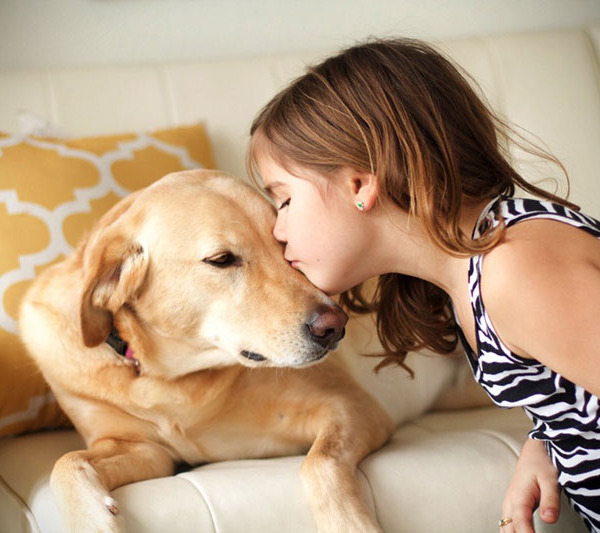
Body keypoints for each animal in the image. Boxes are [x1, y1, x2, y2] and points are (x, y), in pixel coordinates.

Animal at [19, 169, 394, 532]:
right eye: (221, 260)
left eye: (284, 244)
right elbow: (67, 461)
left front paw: (352, 524)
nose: (335, 326)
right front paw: (93, 519)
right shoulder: (143, 449)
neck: (170, 381)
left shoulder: (353, 406)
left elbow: (319, 461)